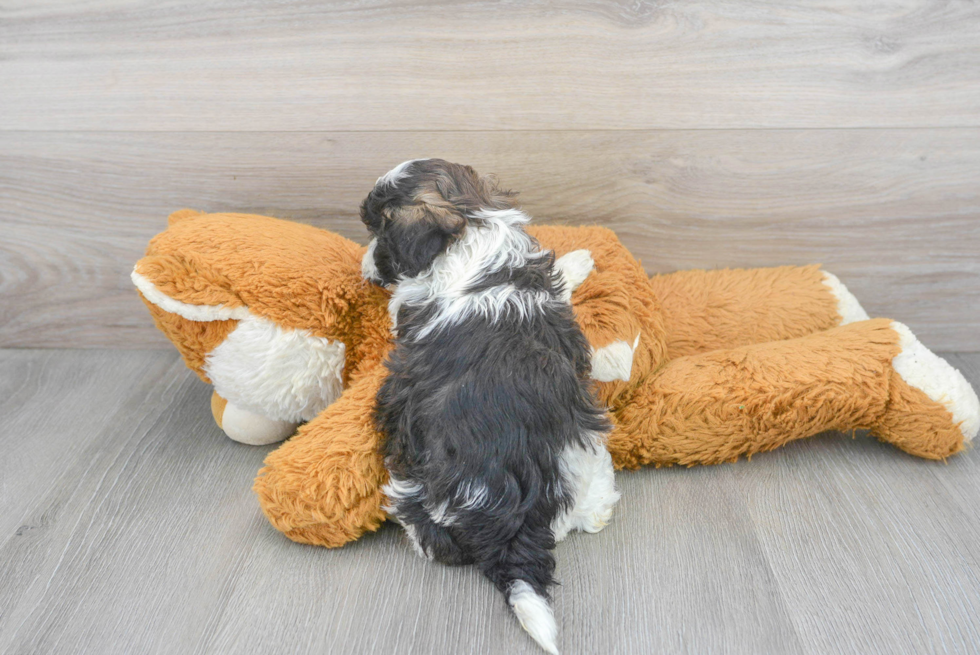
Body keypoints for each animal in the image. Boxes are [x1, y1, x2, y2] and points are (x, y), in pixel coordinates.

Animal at [360, 159, 620, 655]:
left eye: (379, 233)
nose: (365, 271)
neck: (472, 224)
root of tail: (504, 515)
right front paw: (580, 260)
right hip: (585, 448)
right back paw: (600, 510)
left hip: (408, 479)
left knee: (428, 538)